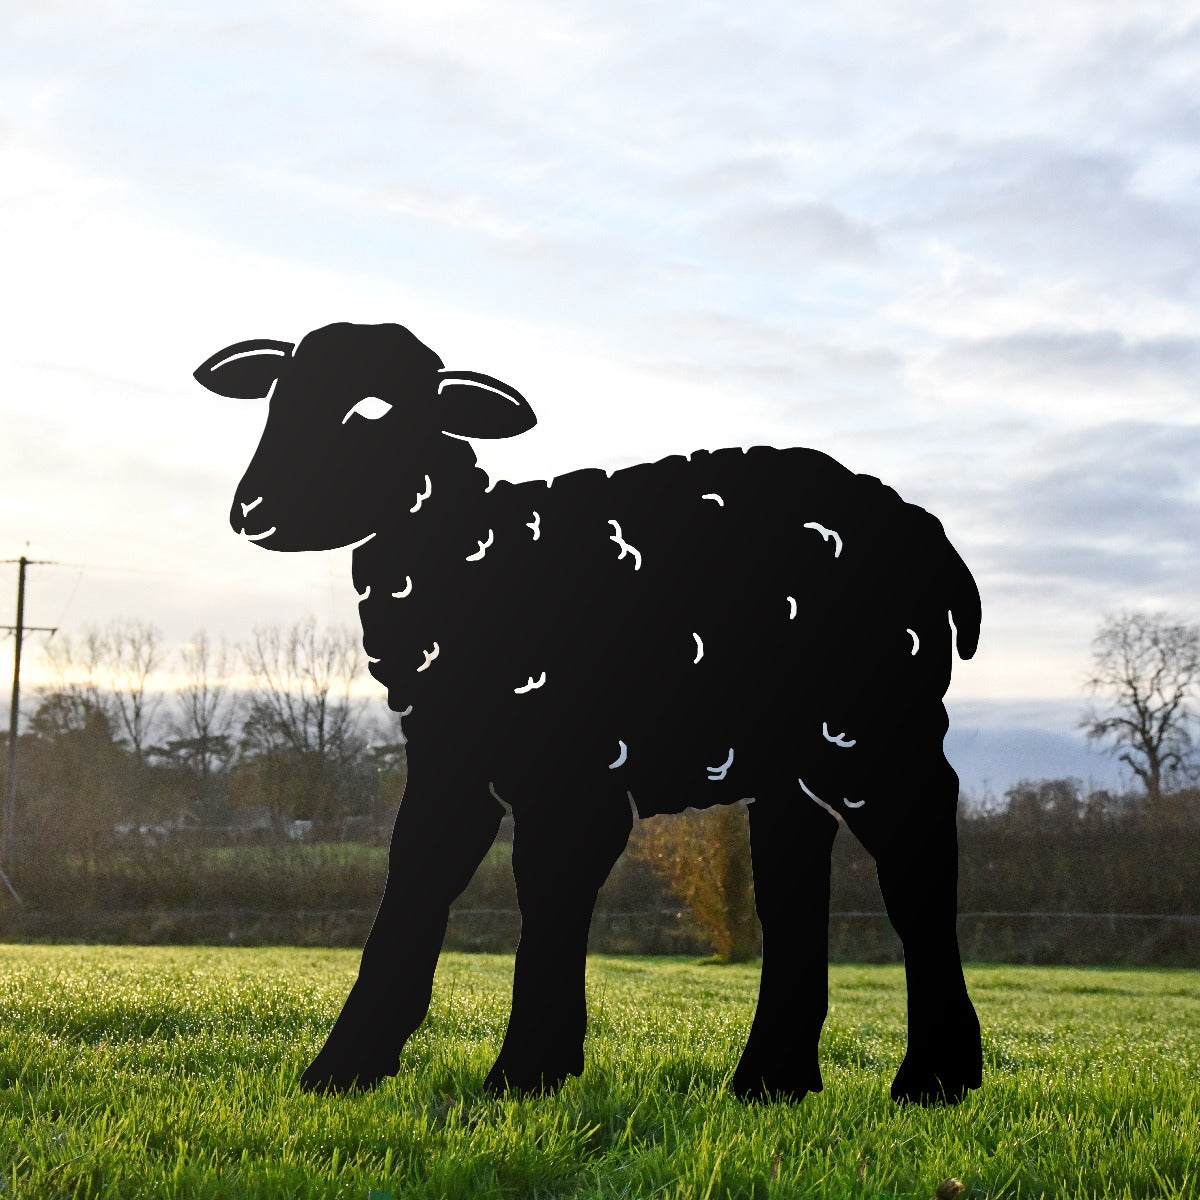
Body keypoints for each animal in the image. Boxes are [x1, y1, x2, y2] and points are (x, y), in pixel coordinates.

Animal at [195, 320, 983, 1105]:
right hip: (796, 753)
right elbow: (418, 875)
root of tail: (932, 536)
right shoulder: (454, 754)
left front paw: (525, 1072)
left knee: (917, 859)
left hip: (874, 723)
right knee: (792, 877)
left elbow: (547, 887)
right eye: (275, 400)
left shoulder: (569, 762)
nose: (251, 510)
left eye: (373, 411)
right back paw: (771, 1081)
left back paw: (934, 1077)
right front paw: (346, 1067)